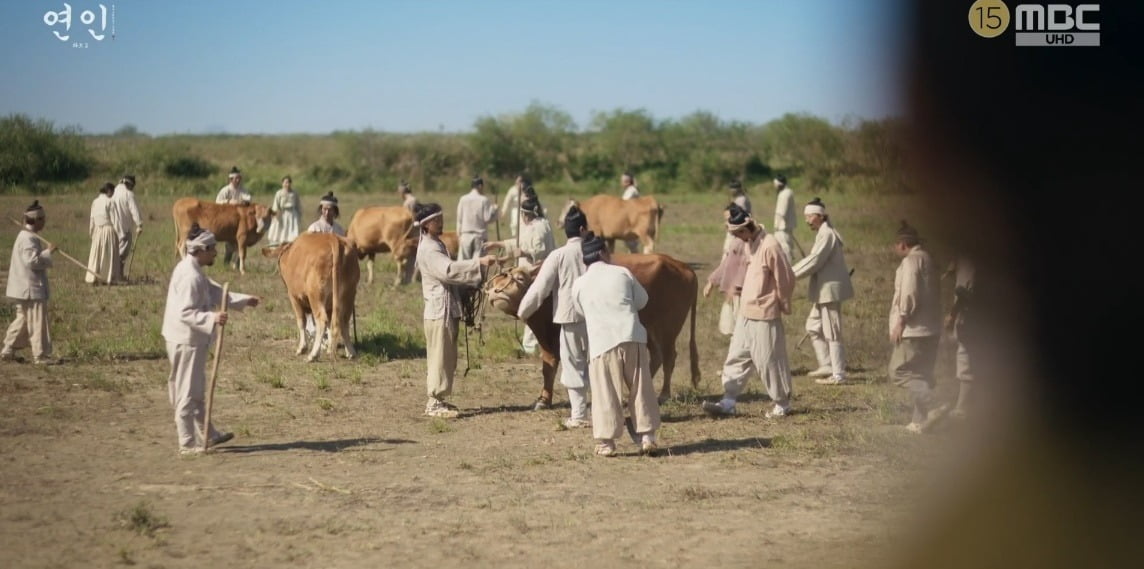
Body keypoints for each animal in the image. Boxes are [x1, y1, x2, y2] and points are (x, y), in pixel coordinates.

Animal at [264, 232, 361, 361]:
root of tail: (333, 239)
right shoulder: (330, 305)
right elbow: (330, 325)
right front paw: (329, 348)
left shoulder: (293, 297)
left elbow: (301, 321)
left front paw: (302, 348)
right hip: (349, 294)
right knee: (342, 320)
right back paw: (350, 352)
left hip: (315, 296)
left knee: (321, 320)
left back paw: (313, 355)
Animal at [482, 254, 695, 407]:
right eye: (495, 282)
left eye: (519, 278)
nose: (495, 293)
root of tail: (681, 266)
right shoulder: (546, 337)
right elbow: (548, 367)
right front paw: (544, 399)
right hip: (647, 327)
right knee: (657, 356)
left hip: (669, 328)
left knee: (669, 357)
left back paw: (663, 395)